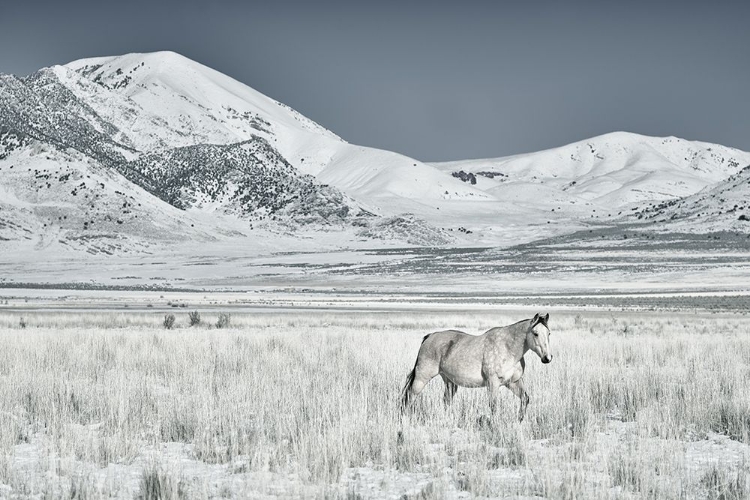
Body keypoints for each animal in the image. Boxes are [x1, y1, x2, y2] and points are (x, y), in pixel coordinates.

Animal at [400, 312, 552, 422]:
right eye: (535, 333)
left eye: (549, 333)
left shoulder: (513, 382)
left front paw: (519, 420)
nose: (547, 358)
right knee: (409, 397)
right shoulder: (493, 383)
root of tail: (429, 337)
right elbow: (494, 406)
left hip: (449, 382)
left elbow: (525, 399)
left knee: (446, 401)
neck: (508, 348)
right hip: (421, 378)